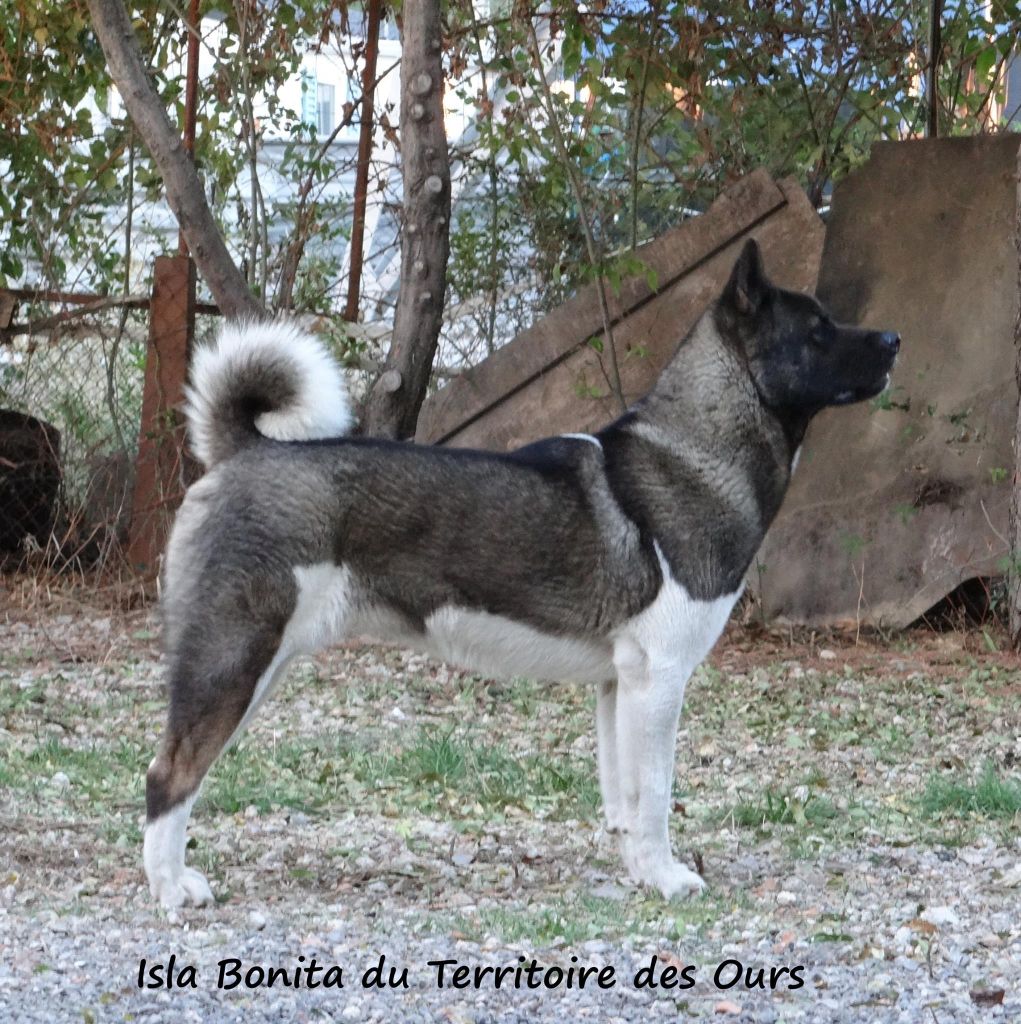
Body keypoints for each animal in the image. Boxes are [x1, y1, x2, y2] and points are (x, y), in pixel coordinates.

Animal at [145, 241, 901, 913]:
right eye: (817, 329)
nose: (894, 339)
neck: (694, 453)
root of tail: (243, 451)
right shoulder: (659, 680)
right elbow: (656, 795)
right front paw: (668, 879)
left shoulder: (619, 684)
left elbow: (625, 799)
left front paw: (639, 874)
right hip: (232, 662)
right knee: (168, 775)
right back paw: (171, 891)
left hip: (255, 669)